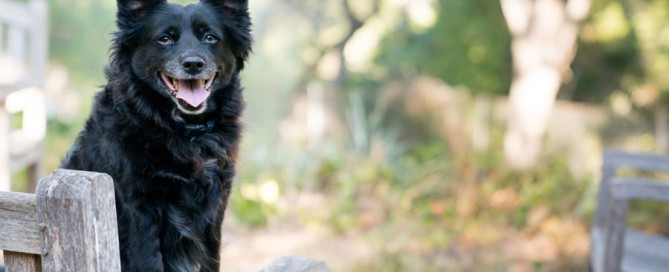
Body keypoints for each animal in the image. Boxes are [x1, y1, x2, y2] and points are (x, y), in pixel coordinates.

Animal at [60, 1, 252, 270]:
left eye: (210, 37)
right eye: (165, 39)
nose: (193, 64)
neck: (187, 133)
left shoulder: (216, 208)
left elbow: (211, 261)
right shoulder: (140, 208)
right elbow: (149, 261)